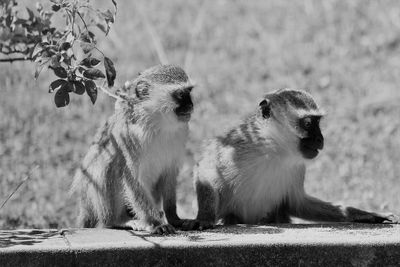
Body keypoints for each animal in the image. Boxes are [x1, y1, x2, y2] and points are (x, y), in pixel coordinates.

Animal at [72, 64, 196, 234]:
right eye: (180, 94)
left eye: (189, 91)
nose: (191, 105)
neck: (157, 124)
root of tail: (85, 206)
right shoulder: (129, 135)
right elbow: (132, 179)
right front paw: (156, 223)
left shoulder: (181, 132)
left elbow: (169, 174)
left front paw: (175, 218)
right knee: (108, 166)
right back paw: (118, 221)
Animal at [191, 88, 396, 230]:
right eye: (308, 123)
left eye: (318, 122)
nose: (320, 139)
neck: (275, 149)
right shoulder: (237, 145)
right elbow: (206, 168)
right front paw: (205, 217)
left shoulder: (297, 167)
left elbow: (298, 203)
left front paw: (366, 215)